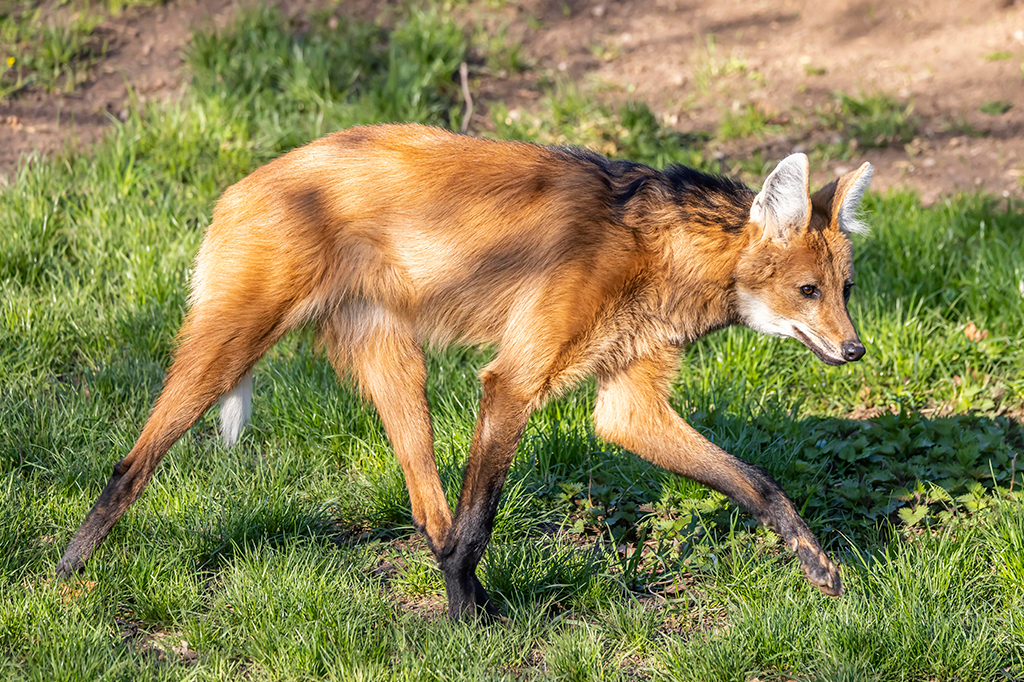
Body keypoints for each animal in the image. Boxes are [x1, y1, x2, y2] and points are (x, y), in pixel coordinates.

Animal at [57, 123, 872, 618]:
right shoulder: (513, 381)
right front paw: (463, 621)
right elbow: (481, 520)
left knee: (428, 507)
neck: (657, 252)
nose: (856, 349)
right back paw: (63, 576)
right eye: (808, 291)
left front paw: (820, 568)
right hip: (229, 345)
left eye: (845, 289)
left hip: (398, 368)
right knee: (130, 464)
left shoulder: (626, 406)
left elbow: (758, 485)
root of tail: (242, 184)